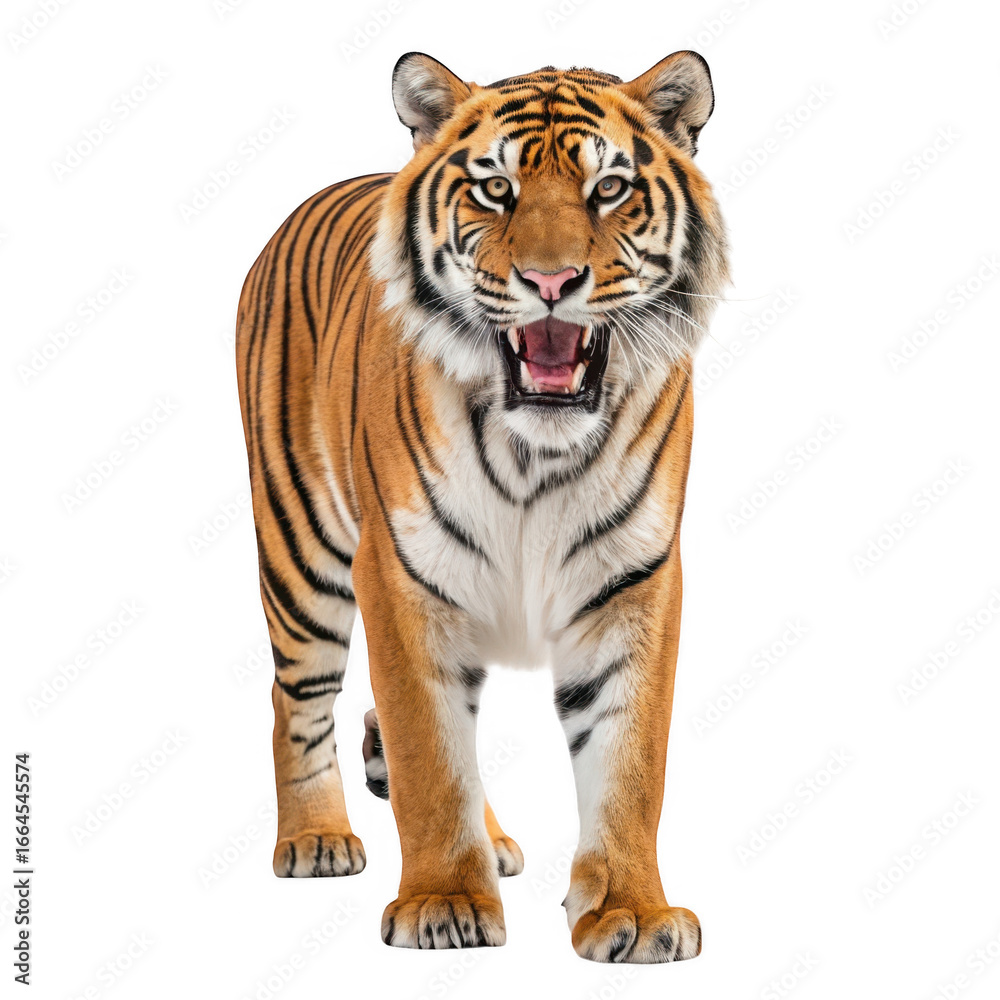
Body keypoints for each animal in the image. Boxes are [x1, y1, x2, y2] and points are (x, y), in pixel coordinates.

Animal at [234, 49, 729, 963]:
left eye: (610, 189)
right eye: (496, 189)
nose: (550, 282)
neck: (538, 447)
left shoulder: (634, 579)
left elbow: (630, 759)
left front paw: (633, 912)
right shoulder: (398, 573)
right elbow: (431, 758)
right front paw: (442, 903)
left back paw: (489, 838)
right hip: (300, 552)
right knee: (297, 700)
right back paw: (316, 838)